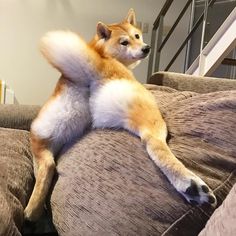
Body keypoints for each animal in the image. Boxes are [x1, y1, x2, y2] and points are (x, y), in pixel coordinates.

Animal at [24, 9, 217, 221]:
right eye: (124, 42)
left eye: (137, 36)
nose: (146, 48)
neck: (100, 51)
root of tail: (97, 68)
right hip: (150, 114)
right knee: (154, 143)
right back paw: (191, 185)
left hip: (51, 130)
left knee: (46, 164)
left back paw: (33, 210)